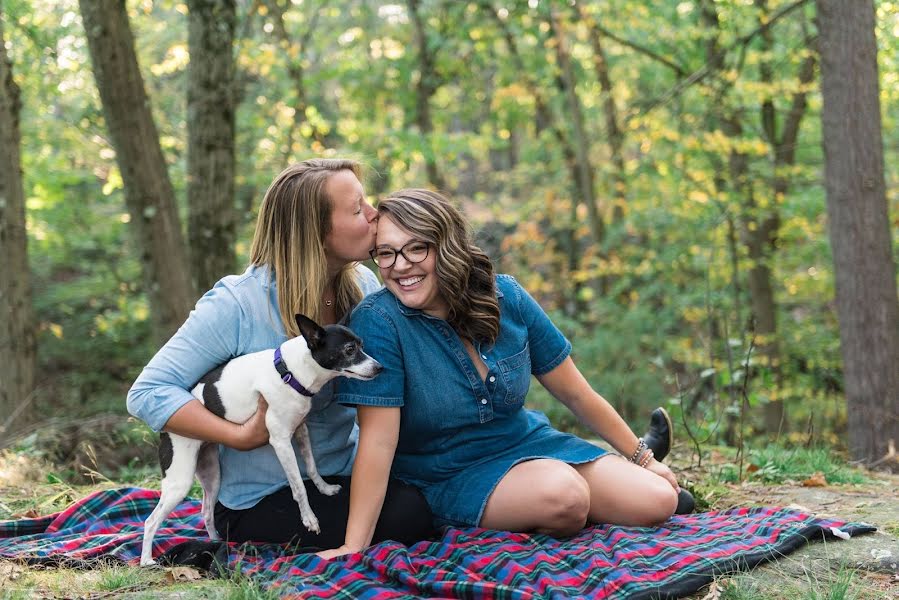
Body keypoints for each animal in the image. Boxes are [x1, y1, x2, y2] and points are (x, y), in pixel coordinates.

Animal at [141, 314, 384, 568]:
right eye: (350, 350)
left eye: (362, 345)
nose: (380, 367)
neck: (290, 372)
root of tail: (164, 430)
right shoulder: (281, 441)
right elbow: (299, 486)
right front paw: (309, 519)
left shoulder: (301, 430)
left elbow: (311, 467)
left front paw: (325, 488)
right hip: (180, 480)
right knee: (151, 521)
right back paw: (147, 560)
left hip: (211, 473)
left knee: (206, 512)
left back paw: (217, 542)